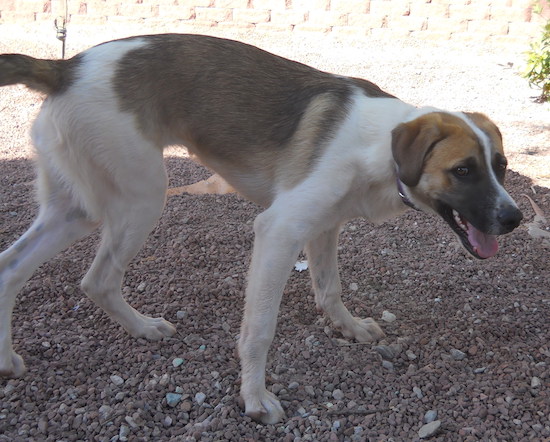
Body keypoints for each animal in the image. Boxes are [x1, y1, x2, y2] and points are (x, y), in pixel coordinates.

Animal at [0, 32, 528, 424]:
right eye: (463, 170)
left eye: (501, 166)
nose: (515, 219)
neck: (380, 148)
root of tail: (66, 67)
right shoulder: (278, 230)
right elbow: (260, 329)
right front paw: (254, 397)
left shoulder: (323, 227)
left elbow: (329, 288)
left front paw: (349, 327)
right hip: (141, 197)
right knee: (98, 279)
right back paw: (142, 327)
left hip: (77, 209)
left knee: (12, 268)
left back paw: (10, 359)